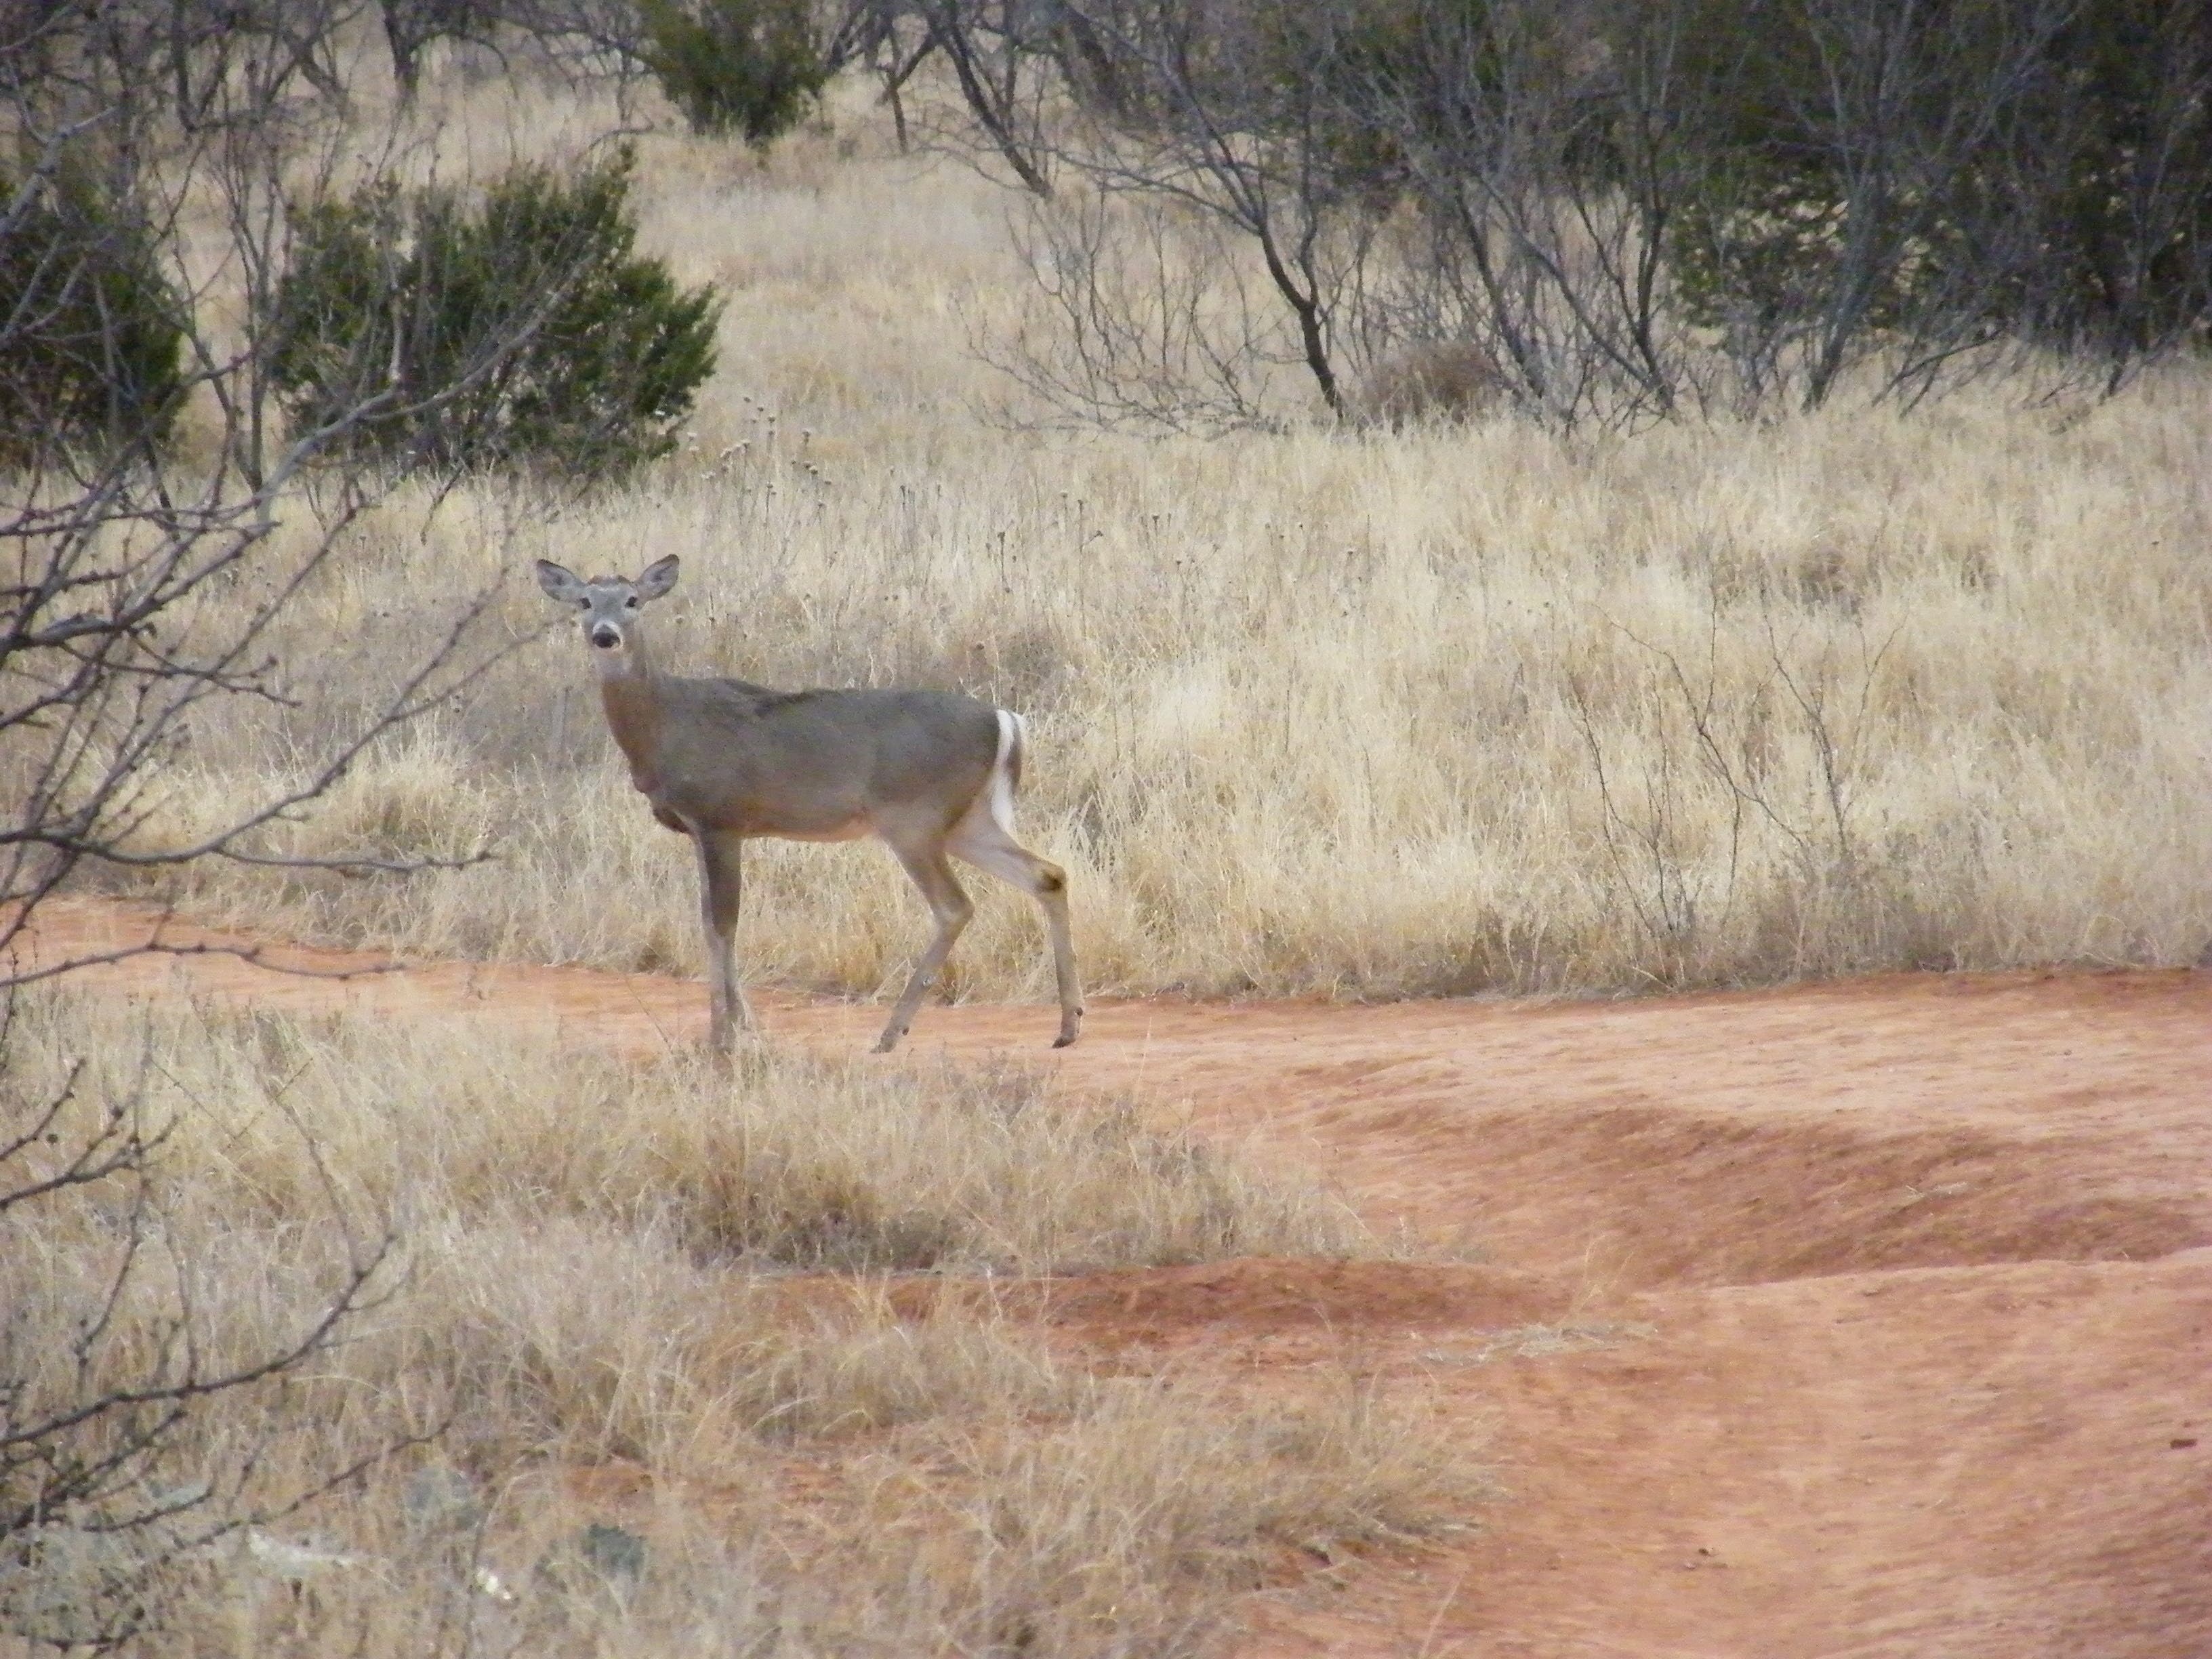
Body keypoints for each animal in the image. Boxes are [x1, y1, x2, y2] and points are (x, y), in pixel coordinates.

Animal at [534, 555, 1082, 1055]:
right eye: (585, 602)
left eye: (633, 600)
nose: (605, 636)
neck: (665, 724)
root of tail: (1005, 719)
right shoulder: (702, 829)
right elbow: (708, 921)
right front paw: (736, 1028)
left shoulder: (720, 818)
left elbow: (723, 923)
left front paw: (726, 1035)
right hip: (967, 821)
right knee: (1047, 874)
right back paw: (1067, 1026)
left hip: (914, 818)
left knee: (955, 906)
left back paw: (890, 1034)